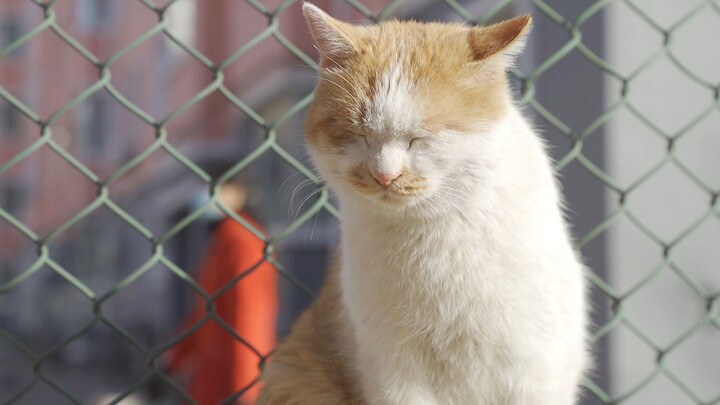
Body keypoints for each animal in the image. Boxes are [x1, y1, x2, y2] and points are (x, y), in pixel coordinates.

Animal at [258, 3, 592, 404]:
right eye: (357, 135)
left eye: (421, 138)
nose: (384, 175)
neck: (432, 235)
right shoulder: (394, 375)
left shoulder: (536, 369)